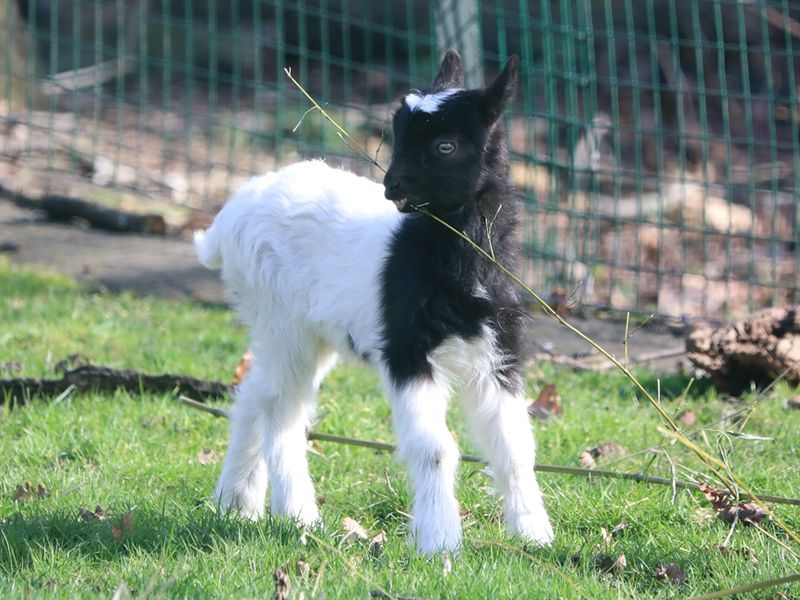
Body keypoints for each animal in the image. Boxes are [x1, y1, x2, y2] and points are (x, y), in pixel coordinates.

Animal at [197, 50, 552, 552]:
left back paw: (237, 502)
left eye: (445, 145)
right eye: (398, 135)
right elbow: (435, 448)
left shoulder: (498, 354)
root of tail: (229, 216)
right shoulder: (407, 351)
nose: (392, 187)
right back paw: (298, 513)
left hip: (294, 329)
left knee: (256, 391)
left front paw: (534, 535)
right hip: (280, 316)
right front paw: (439, 543)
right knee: (282, 407)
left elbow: (515, 446)